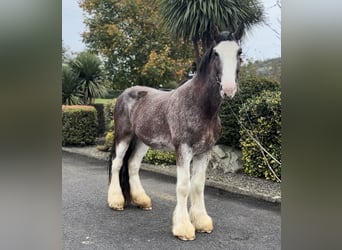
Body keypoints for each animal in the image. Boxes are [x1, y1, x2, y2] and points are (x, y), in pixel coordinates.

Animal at [108, 24, 244, 240]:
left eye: (239, 52)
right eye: (216, 53)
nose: (229, 89)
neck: (200, 106)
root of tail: (124, 94)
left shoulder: (204, 151)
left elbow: (198, 185)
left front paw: (201, 222)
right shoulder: (184, 150)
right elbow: (183, 186)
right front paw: (183, 228)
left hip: (141, 141)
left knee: (132, 165)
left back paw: (142, 201)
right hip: (124, 136)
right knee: (117, 163)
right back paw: (116, 201)